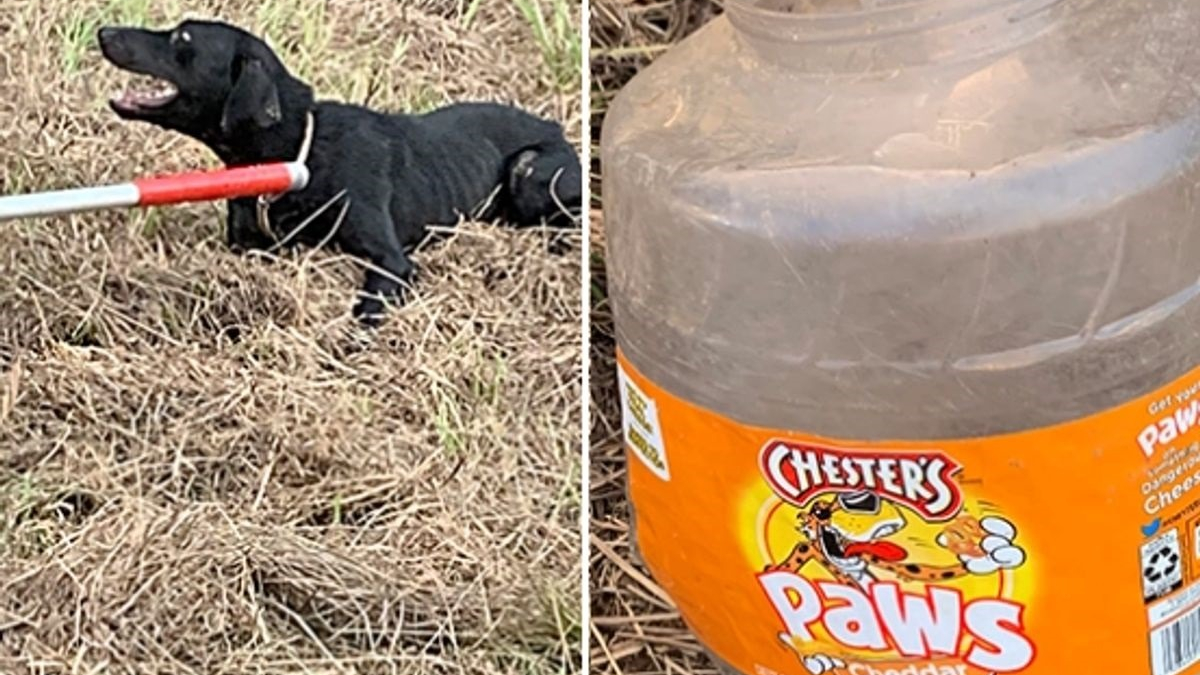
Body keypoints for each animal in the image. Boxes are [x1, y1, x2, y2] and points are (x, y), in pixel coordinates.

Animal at [98, 20, 580, 324]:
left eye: (182, 37)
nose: (104, 31)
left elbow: (366, 309)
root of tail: (555, 127)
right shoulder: (249, 245)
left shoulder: (392, 261)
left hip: (528, 169)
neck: (300, 150)